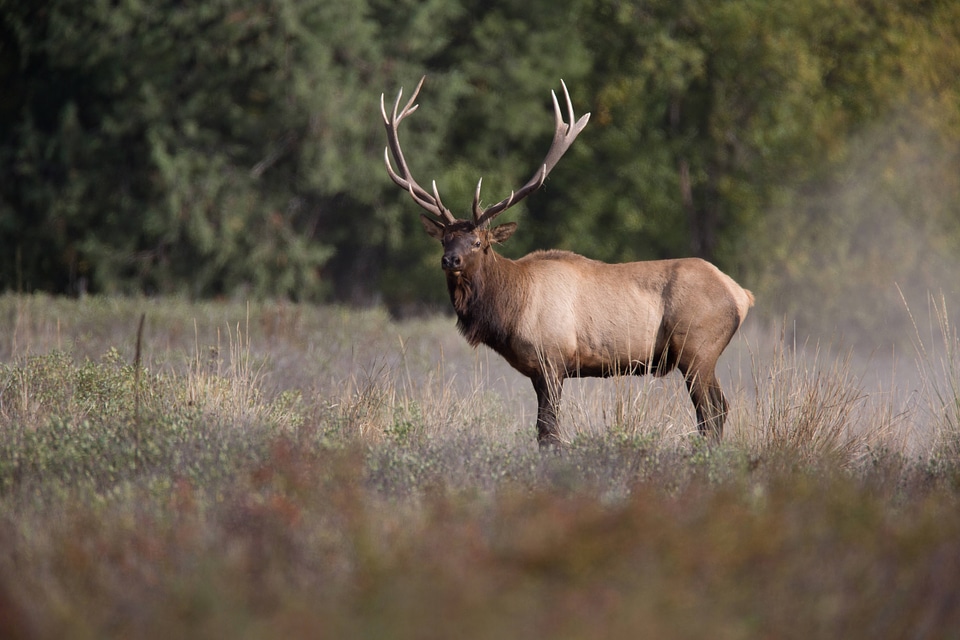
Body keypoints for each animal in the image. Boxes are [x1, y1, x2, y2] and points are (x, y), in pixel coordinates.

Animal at [378, 77, 752, 448]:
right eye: (444, 239)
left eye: (478, 242)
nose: (449, 259)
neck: (509, 309)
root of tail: (742, 295)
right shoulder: (536, 370)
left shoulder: (552, 359)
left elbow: (548, 430)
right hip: (700, 356)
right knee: (718, 409)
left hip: (697, 349)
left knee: (712, 410)